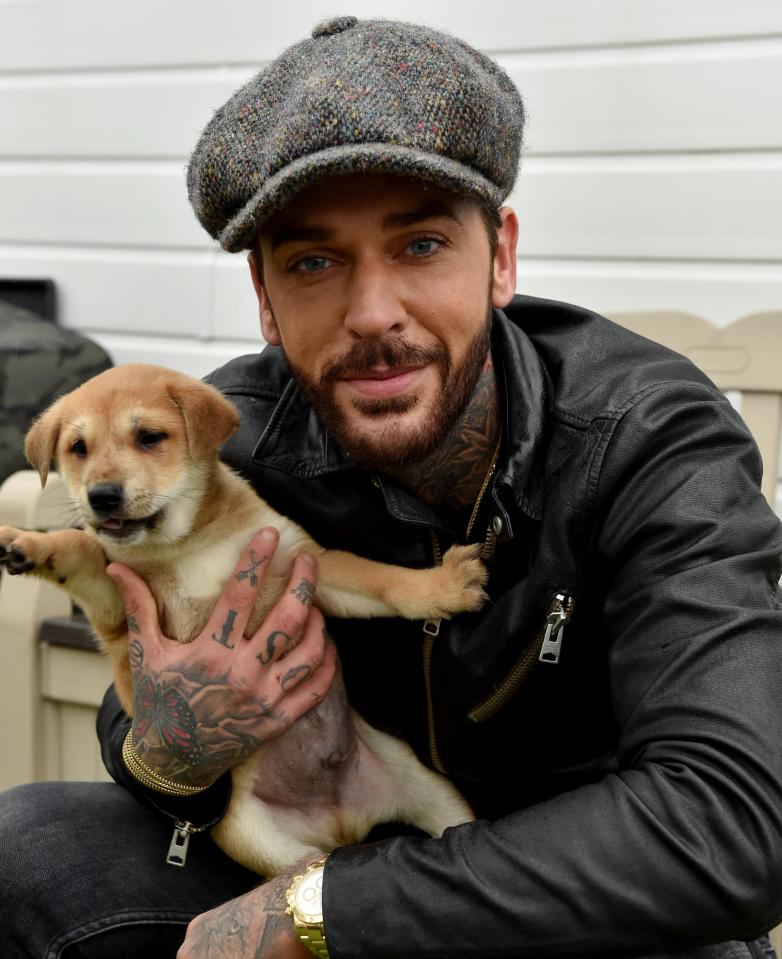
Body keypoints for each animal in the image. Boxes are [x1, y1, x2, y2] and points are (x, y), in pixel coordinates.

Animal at [0, 364, 486, 872]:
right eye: (78, 448)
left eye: (149, 437)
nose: (102, 497)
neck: (182, 546)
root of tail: (340, 821)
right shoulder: (120, 610)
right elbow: (80, 548)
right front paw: (29, 544)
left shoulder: (309, 564)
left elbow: (384, 581)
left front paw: (445, 586)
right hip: (257, 838)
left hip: (433, 790)